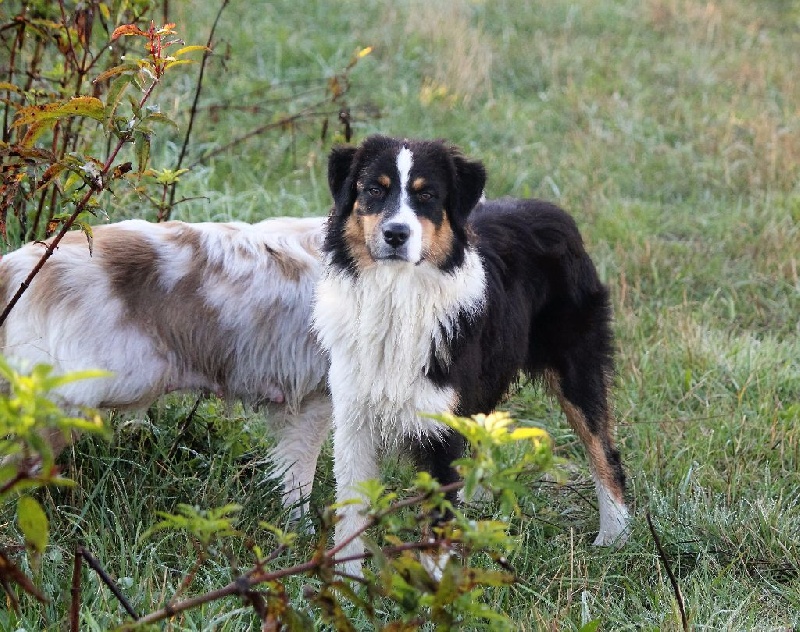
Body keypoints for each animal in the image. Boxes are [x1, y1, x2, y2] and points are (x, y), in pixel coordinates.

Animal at [312, 136, 632, 576]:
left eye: (427, 195)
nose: (396, 234)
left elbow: (435, 528)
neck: (397, 296)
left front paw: (433, 588)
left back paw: (614, 535)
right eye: (374, 189)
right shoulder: (353, 418)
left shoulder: (440, 428)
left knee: (603, 449)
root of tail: (553, 210)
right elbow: (352, 511)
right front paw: (346, 581)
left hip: (577, 367)